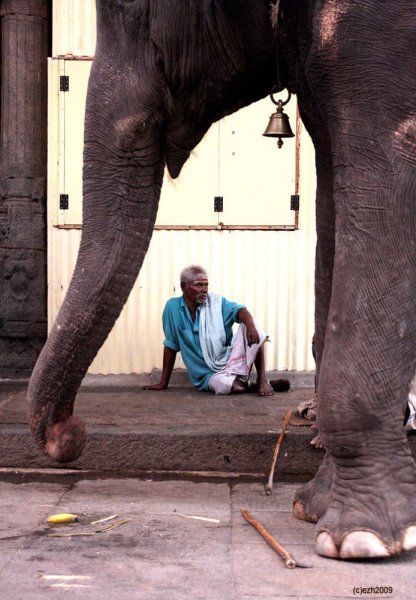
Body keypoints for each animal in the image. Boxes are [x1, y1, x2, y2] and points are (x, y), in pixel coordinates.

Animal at [26, 1, 416, 564]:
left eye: (137, 10)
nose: (69, 435)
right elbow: (334, 199)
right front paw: (311, 508)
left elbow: (384, 178)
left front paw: (360, 540)